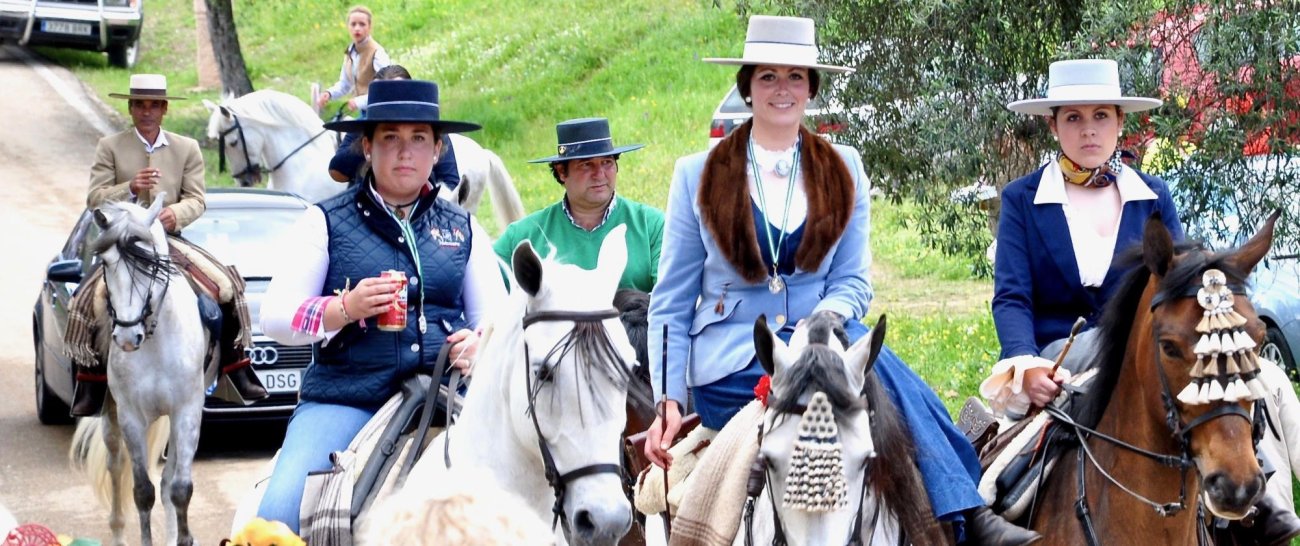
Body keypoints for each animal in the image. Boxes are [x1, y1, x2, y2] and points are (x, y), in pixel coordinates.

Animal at [68, 196, 209, 546]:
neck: (155, 339)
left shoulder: (187, 411)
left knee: (169, 479)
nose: (127, 338)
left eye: (151, 264)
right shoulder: (130, 415)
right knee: (116, 465)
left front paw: (184, 538)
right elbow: (142, 490)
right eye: (106, 264)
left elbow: (179, 488)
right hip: (111, 414)